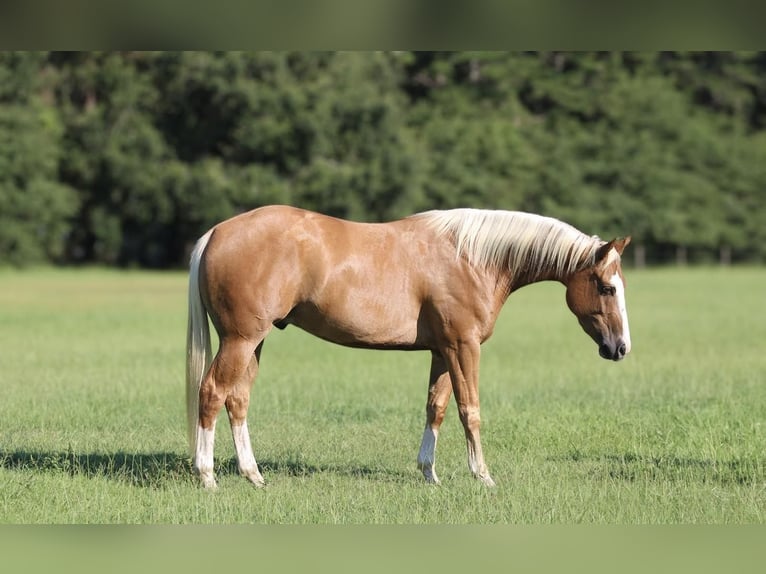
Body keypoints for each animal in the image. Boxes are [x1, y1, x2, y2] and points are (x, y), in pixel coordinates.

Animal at [184, 205, 632, 488]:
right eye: (607, 287)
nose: (621, 348)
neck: (472, 258)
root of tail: (216, 233)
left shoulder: (442, 350)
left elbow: (436, 408)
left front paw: (429, 473)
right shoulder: (463, 347)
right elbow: (470, 411)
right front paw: (482, 476)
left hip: (253, 343)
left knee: (237, 400)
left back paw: (253, 475)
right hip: (240, 341)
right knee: (212, 393)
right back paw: (207, 476)